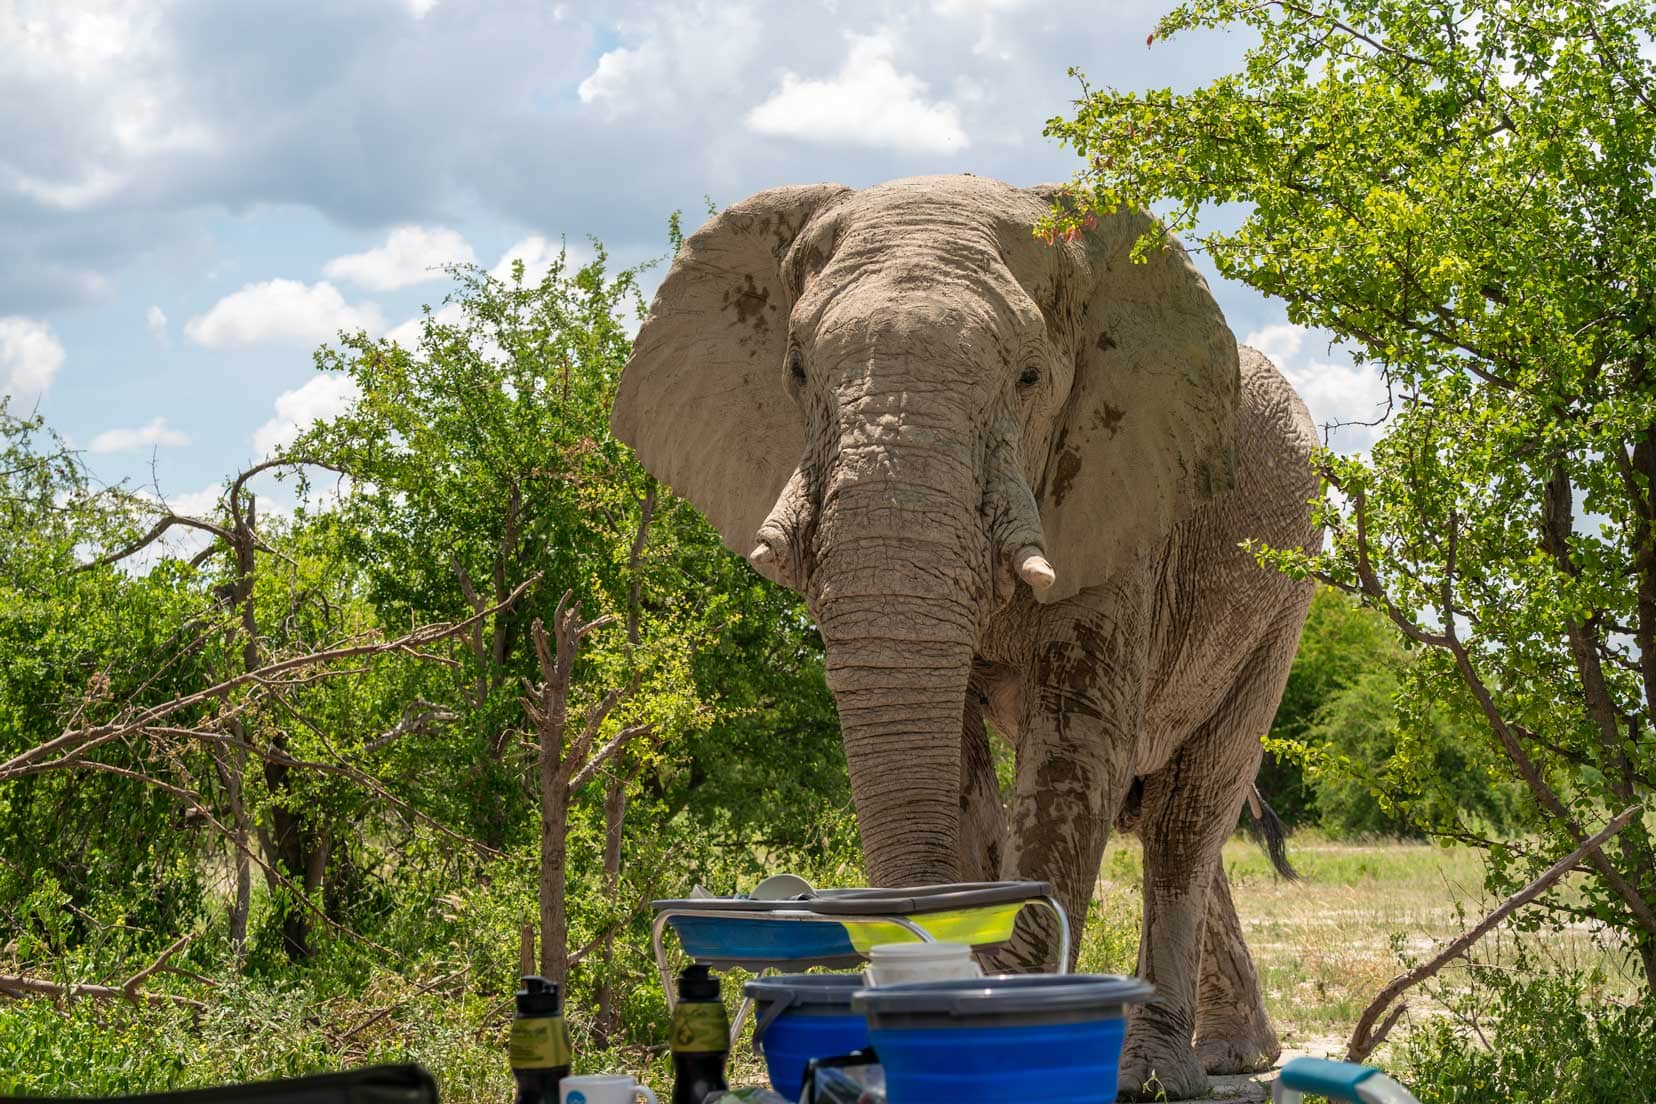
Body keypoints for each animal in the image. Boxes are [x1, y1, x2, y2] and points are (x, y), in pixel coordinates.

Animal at [609, 177, 1318, 1099]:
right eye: (796, 369)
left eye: (1029, 376)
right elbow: (952, 762)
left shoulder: (1123, 502)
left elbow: (1073, 750)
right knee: (1160, 805)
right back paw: (1235, 1057)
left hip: (1286, 594)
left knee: (1189, 809)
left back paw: (1164, 1072)